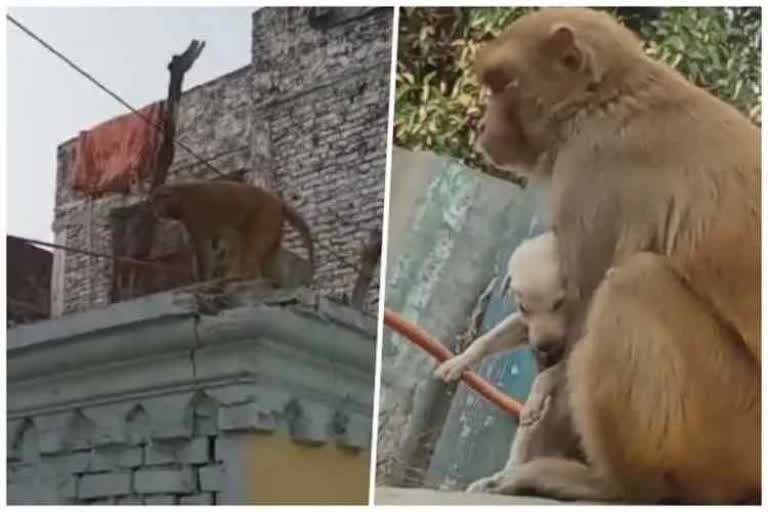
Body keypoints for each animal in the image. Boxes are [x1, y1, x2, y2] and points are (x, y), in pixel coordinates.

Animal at [147, 181, 316, 284]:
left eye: (158, 200)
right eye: (154, 202)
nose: (155, 212)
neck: (181, 197)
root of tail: (278, 202)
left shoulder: (194, 214)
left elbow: (203, 248)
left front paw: (204, 280)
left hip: (266, 214)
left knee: (251, 247)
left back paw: (244, 276)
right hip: (273, 220)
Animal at [472, 7, 760, 504]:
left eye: (503, 85)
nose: (482, 125)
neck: (601, 99)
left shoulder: (590, 174)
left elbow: (577, 319)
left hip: (727, 431)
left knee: (633, 280)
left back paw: (611, 486)